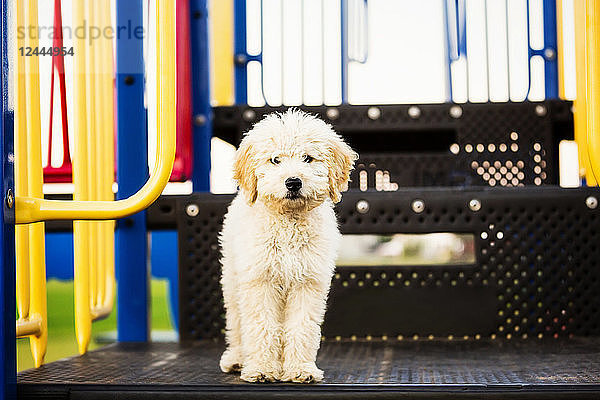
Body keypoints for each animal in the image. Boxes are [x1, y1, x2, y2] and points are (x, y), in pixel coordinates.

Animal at [219, 108, 356, 382]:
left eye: (308, 158)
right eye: (275, 160)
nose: (293, 182)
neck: (289, 221)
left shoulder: (308, 282)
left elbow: (301, 327)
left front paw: (300, 369)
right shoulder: (259, 280)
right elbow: (262, 326)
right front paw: (262, 368)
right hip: (233, 279)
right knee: (237, 322)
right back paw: (237, 358)